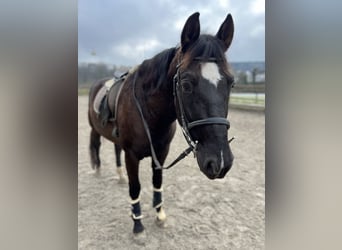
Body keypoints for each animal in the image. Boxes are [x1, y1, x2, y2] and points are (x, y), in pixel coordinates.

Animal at [87, 11, 235, 234]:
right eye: (186, 84)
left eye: (231, 83)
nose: (220, 161)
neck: (149, 113)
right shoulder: (132, 155)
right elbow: (135, 187)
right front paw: (137, 223)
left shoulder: (161, 152)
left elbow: (157, 181)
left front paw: (159, 214)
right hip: (94, 129)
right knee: (95, 145)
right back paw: (97, 170)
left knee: (115, 150)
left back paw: (119, 175)